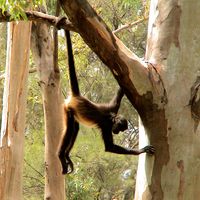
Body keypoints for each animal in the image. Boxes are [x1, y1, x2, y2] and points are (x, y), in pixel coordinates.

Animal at [57, 30, 155, 175]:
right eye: (119, 128)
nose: (116, 133)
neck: (111, 116)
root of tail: (78, 97)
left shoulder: (113, 107)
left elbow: (120, 93)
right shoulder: (106, 125)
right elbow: (109, 147)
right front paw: (142, 150)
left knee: (75, 129)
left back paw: (67, 156)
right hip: (67, 109)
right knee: (69, 130)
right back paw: (60, 156)